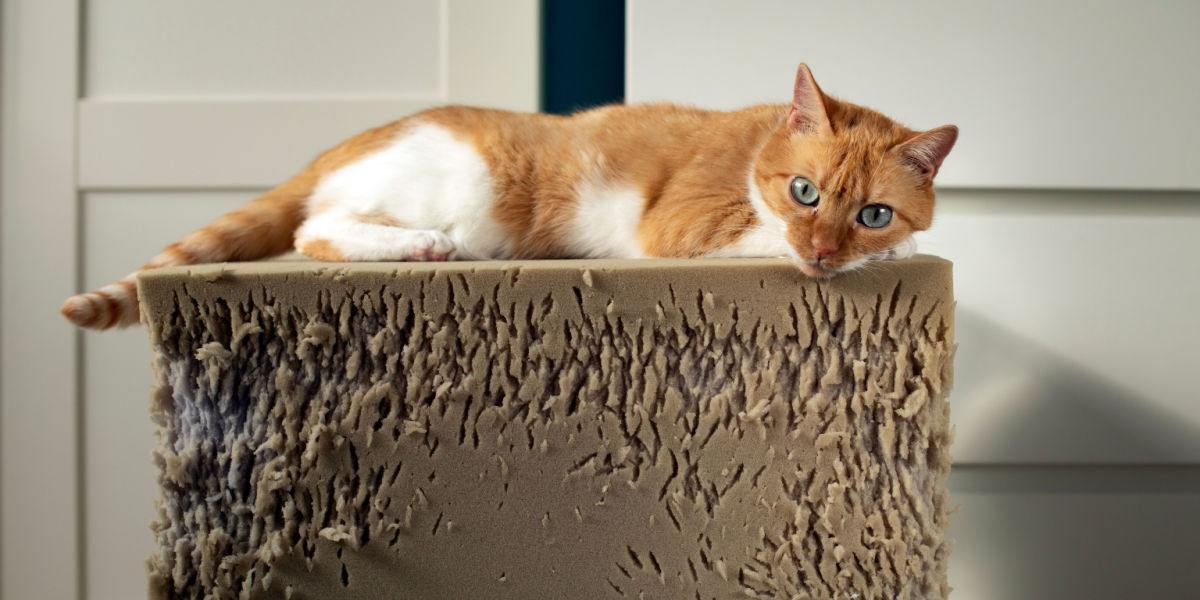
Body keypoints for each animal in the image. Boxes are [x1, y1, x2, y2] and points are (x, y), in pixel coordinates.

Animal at [60, 63, 955, 331]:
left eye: (871, 211)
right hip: (457, 184)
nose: (825, 254)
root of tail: (352, 139)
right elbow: (758, 236)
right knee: (318, 230)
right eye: (804, 192)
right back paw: (416, 247)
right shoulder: (687, 224)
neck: (756, 148)